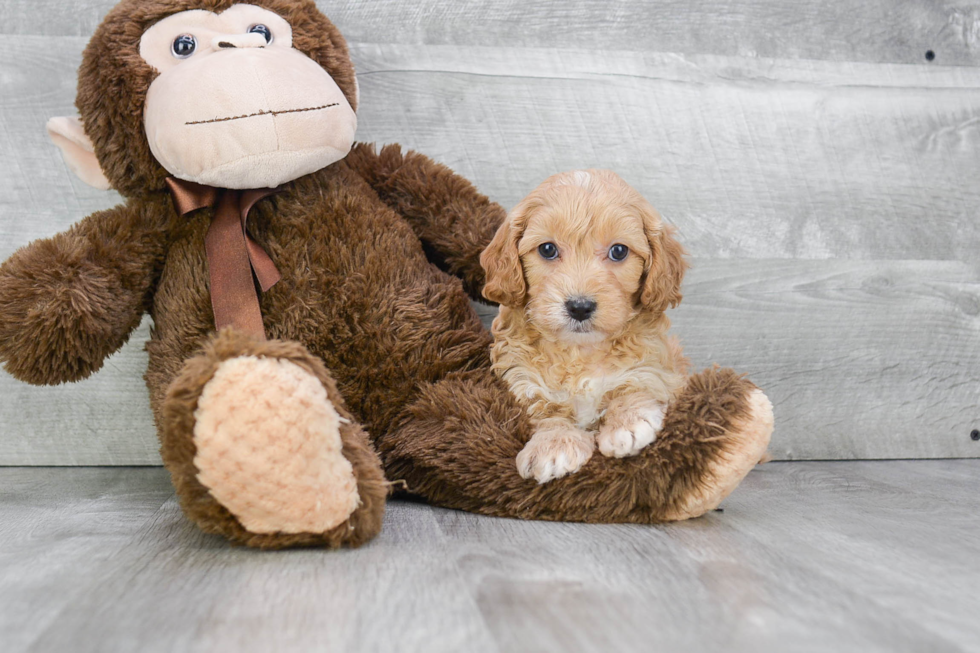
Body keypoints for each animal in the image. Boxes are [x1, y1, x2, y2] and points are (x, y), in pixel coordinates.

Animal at [478, 169, 684, 484]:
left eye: (619, 251)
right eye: (547, 249)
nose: (580, 307)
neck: (580, 352)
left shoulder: (658, 364)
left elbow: (639, 381)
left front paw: (628, 421)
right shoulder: (523, 382)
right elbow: (548, 413)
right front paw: (553, 444)